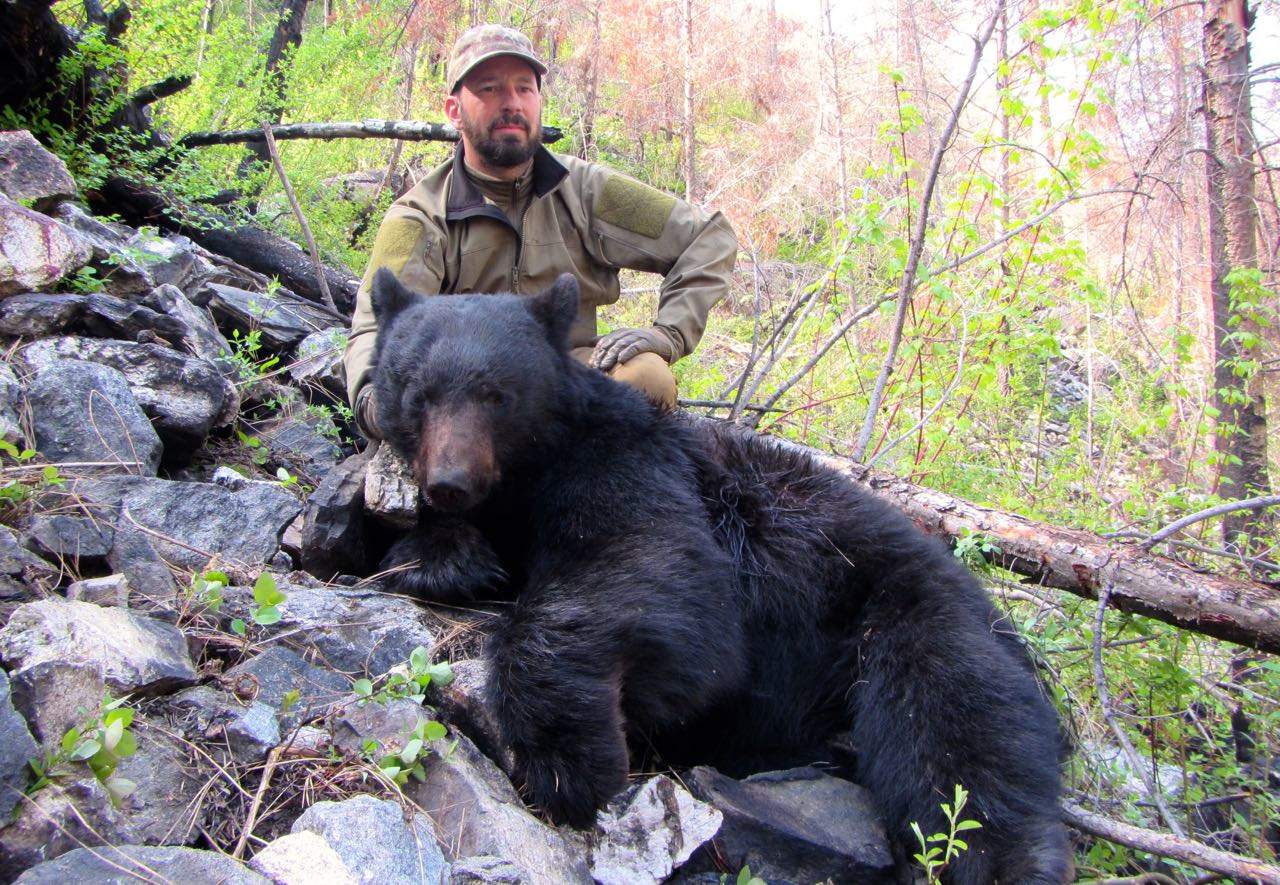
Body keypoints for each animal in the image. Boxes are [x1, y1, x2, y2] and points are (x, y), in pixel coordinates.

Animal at [367, 267, 1073, 884]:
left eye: (496, 395)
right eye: (418, 394)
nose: (451, 480)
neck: (525, 481)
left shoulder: (633, 463)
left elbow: (657, 565)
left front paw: (568, 754)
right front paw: (447, 558)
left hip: (909, 615)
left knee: (959, 740)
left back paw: (1009, 861)